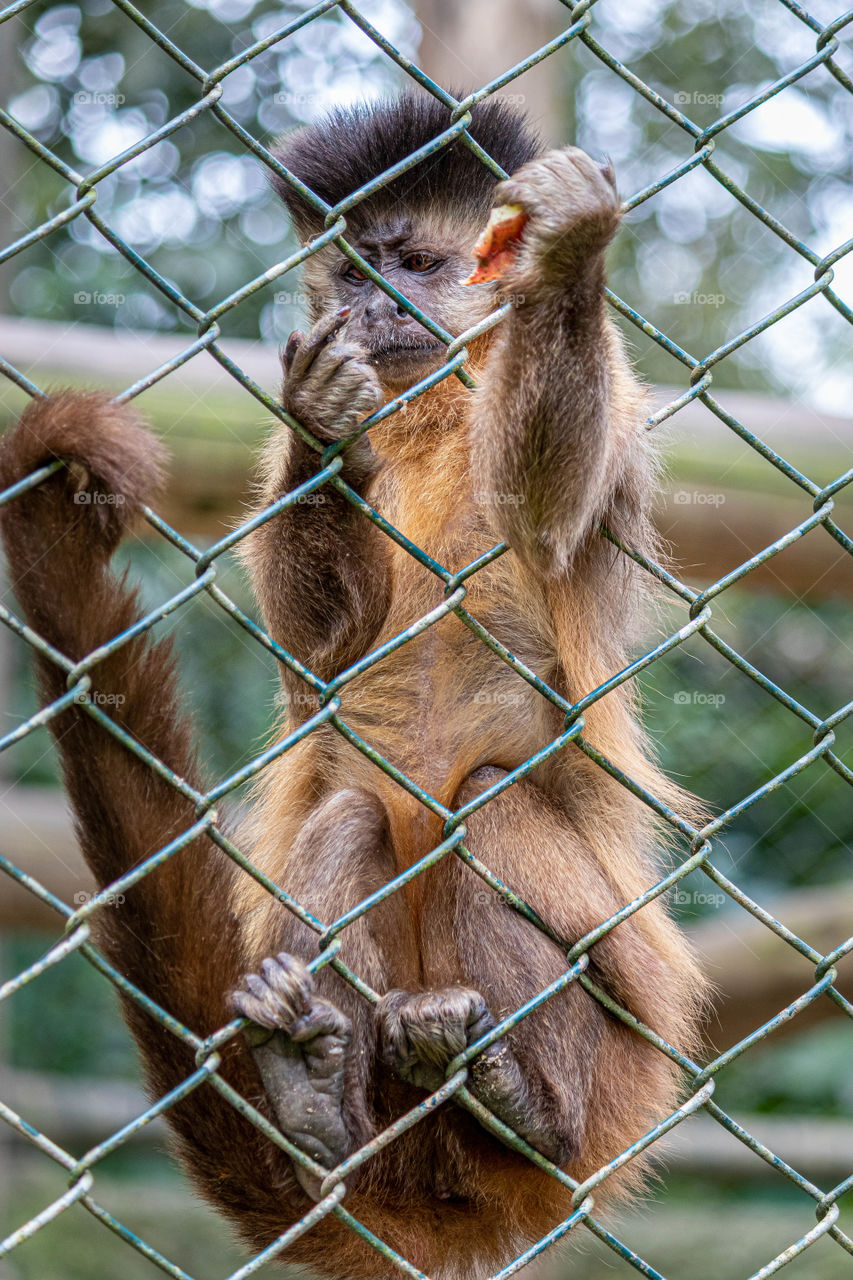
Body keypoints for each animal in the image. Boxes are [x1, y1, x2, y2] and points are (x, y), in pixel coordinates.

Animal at [0, 94, 701, 1274]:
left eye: (416, 264)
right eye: (354, 270)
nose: (374, 305)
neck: (428, 408)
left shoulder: (624, 406)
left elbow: (546, 513)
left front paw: (566, 255)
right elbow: (326, 638)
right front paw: (322, 425)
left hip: (624, 1065)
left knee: (488, 804)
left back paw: (530, 1107)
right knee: (350, 818)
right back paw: (320, 1105)